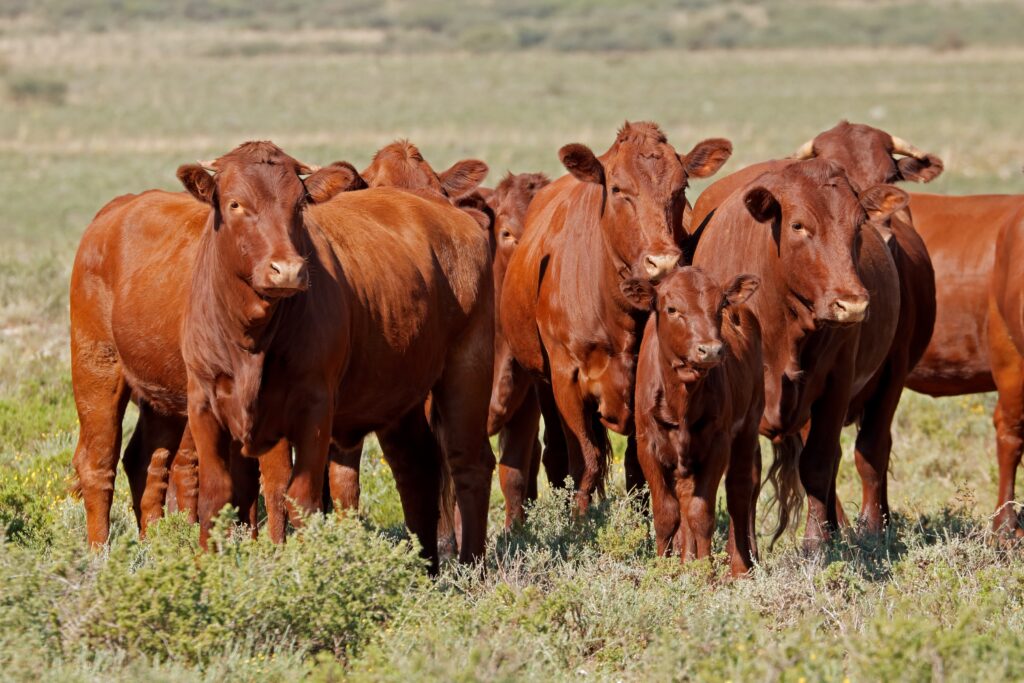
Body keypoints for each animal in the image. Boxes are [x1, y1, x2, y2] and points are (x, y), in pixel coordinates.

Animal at [69, 150, 363, 545]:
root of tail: (115, 210)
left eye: (299, 203)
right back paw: (99, 551)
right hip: (97, 369)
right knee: (98, 462)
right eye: (235, 203)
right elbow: (271, 481)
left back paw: (155, 542)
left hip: (161, 397)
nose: (286, 270)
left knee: (146, 461)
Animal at [177, 142, 495, 571]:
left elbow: (302, 499)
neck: (250, 339)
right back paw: (427, 568)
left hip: (467, 370)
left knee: (469, 464)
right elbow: (216, 498)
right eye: (235, 203)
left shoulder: (314, 407)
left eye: (299, 205)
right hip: (400, 396)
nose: (287, 270)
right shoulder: (204, 404)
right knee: (417, 468)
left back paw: (472, 567)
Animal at [501, 121, 732, 512]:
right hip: (543, 380)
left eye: (681, 188)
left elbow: (638, 465)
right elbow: (585, 461)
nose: (663, 262)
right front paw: (578, 521)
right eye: (618, 189)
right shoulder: (566, 380)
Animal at [626, 267, 763, 576]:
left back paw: (739, 570)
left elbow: (702, 514)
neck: (681, 400)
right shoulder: (646, 445)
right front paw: (664, 572)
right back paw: (686, 561)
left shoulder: (718, 444)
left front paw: (705, 574)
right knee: (686, 496)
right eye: (672, 308)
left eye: (720, 306)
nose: (710, 350)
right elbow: (667, 514)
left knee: (739, 491)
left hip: (748, 426)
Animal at [691, 121, 941, 533]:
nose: (852, 303)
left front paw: (837, 535)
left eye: (858, 224)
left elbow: (832, 461)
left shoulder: (853, 379)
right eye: (798, 225)